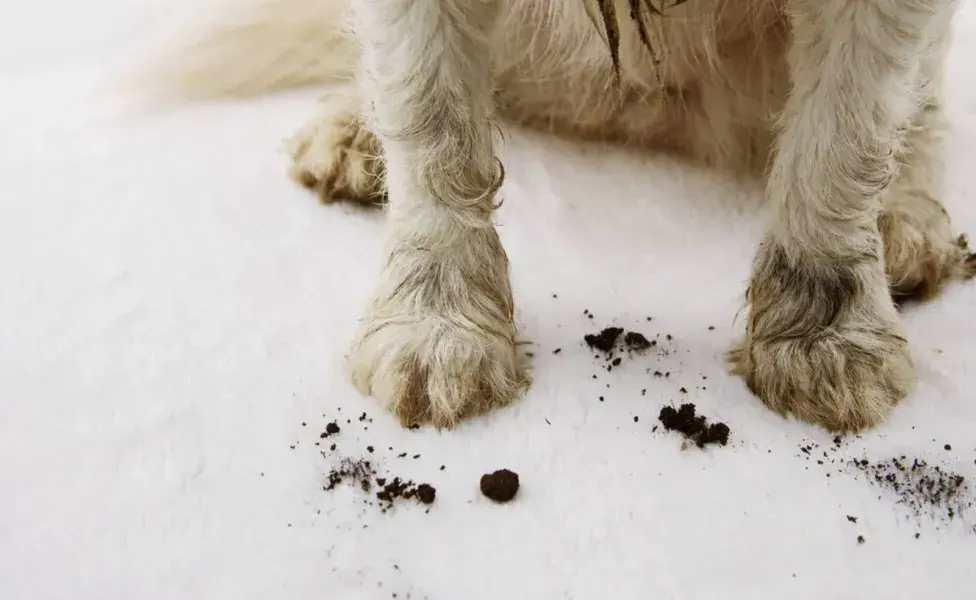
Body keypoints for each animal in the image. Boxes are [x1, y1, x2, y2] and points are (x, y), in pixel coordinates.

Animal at [145, 0, 976, 434]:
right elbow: (430, 114)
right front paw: (437, 330)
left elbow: (845, 134)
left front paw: (826, 339)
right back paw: (352, 131)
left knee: (921, 105)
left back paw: (909, 223)